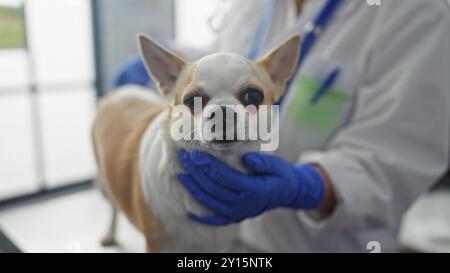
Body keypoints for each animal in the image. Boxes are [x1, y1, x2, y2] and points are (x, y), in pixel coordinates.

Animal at [92, 34, 300, 253]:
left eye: (253, 96)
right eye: (192, 100)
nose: (222, 111)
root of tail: (120, 91)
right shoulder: (158, 245)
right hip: (104, 180)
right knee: (113, 206)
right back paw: (110, 233)